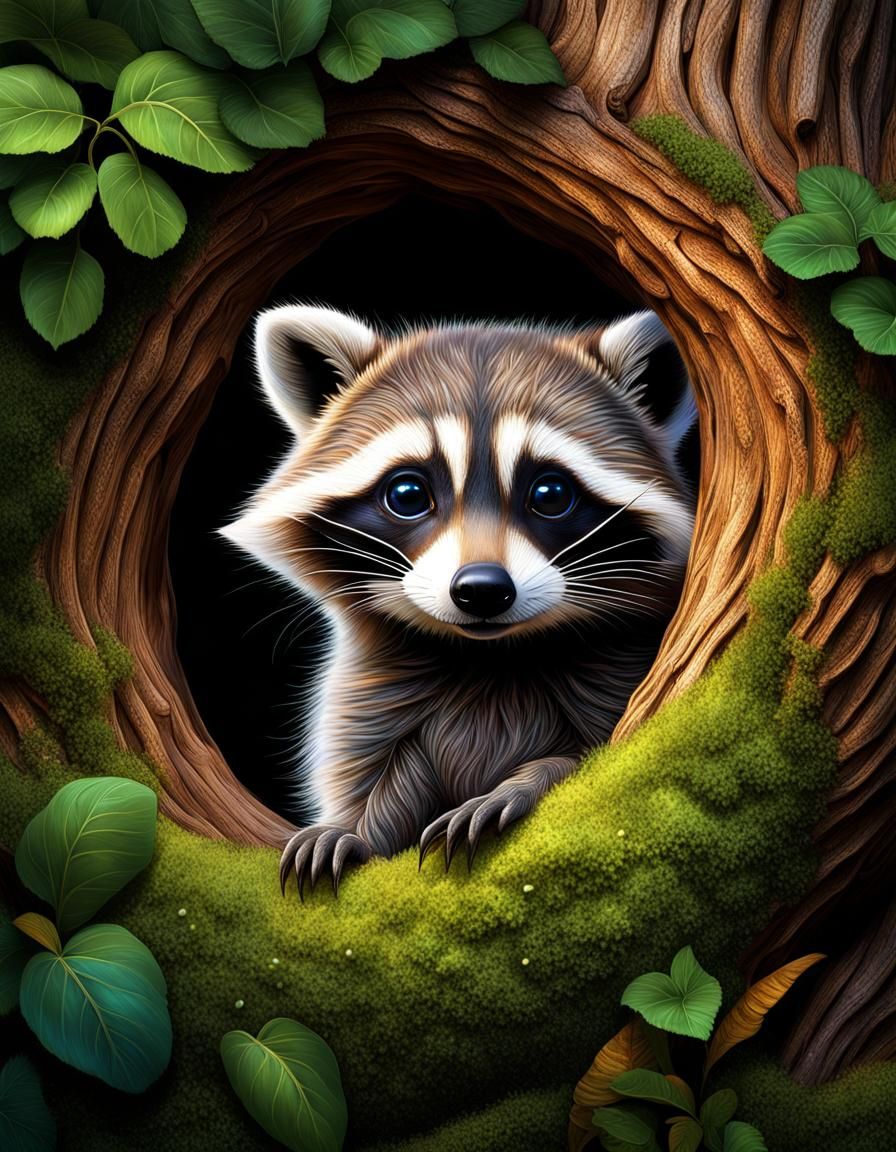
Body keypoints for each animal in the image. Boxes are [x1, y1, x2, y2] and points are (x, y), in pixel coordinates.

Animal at [219, 305, 697, 896]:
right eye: (407, 494)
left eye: (550, 494)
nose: (482, 589)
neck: (487, 656)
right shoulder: (370, 694)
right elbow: (378, 778)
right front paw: (353, 828)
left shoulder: (620, 671)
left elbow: (586, 756)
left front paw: (524, 782)